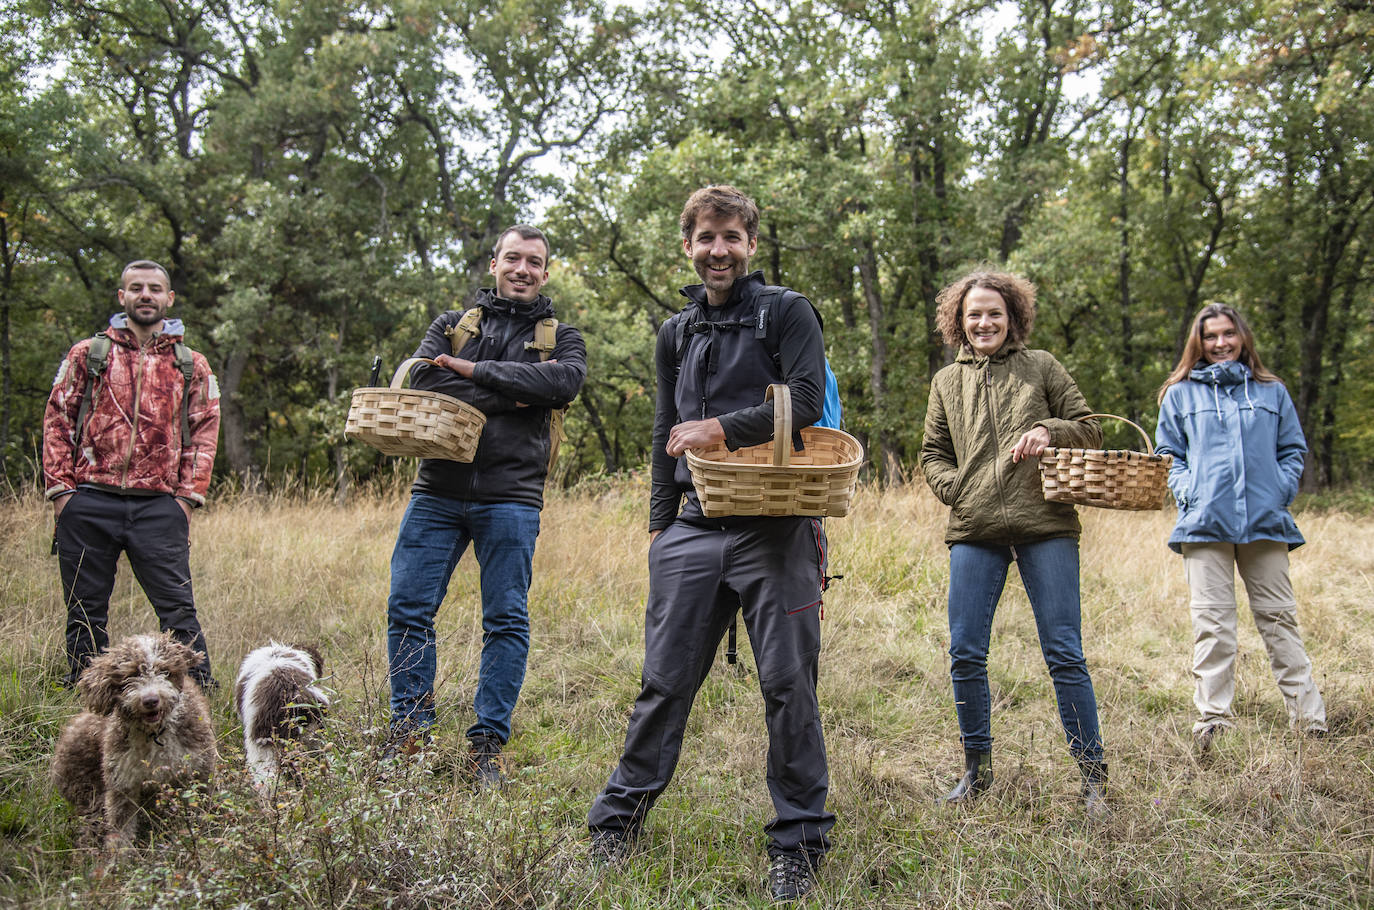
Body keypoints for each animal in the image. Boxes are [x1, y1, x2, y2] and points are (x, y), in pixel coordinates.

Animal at [50, 635, 214, 846]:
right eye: (131, 675)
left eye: (164, 671)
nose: (151, 700)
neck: (155, 734)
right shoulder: (122, 782)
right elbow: (120, 827)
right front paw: (118, 855)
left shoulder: (198, 770)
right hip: (85, 786)